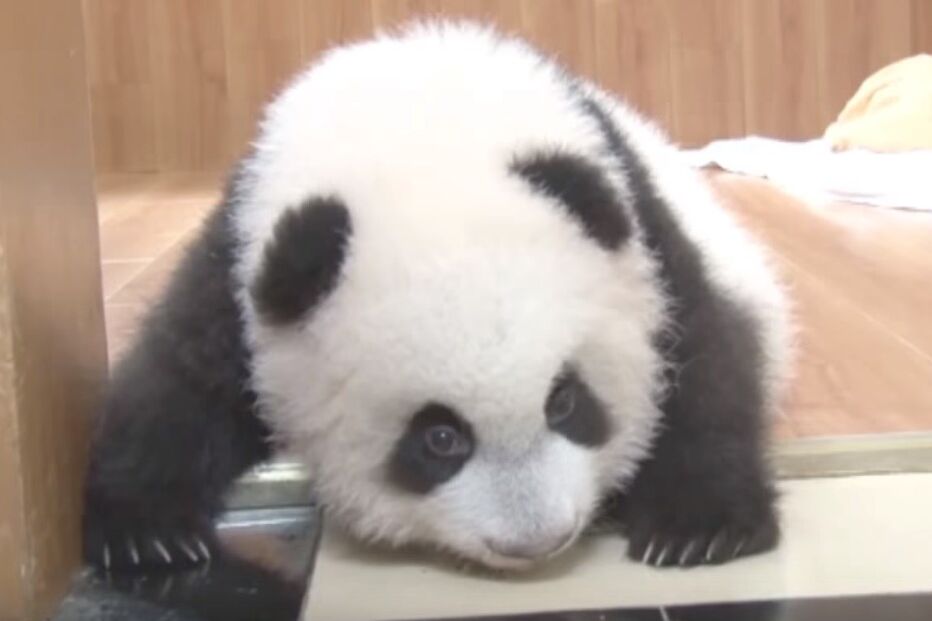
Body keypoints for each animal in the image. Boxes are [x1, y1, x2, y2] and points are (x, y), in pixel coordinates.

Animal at [83, 21, 793, 573]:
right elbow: (183, 376)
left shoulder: (640, 226)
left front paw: (697, 526)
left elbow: (700, 352)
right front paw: (147, 535)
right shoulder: (244, 246)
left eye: (566, 401)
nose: (538, 539)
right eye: (439, 439)